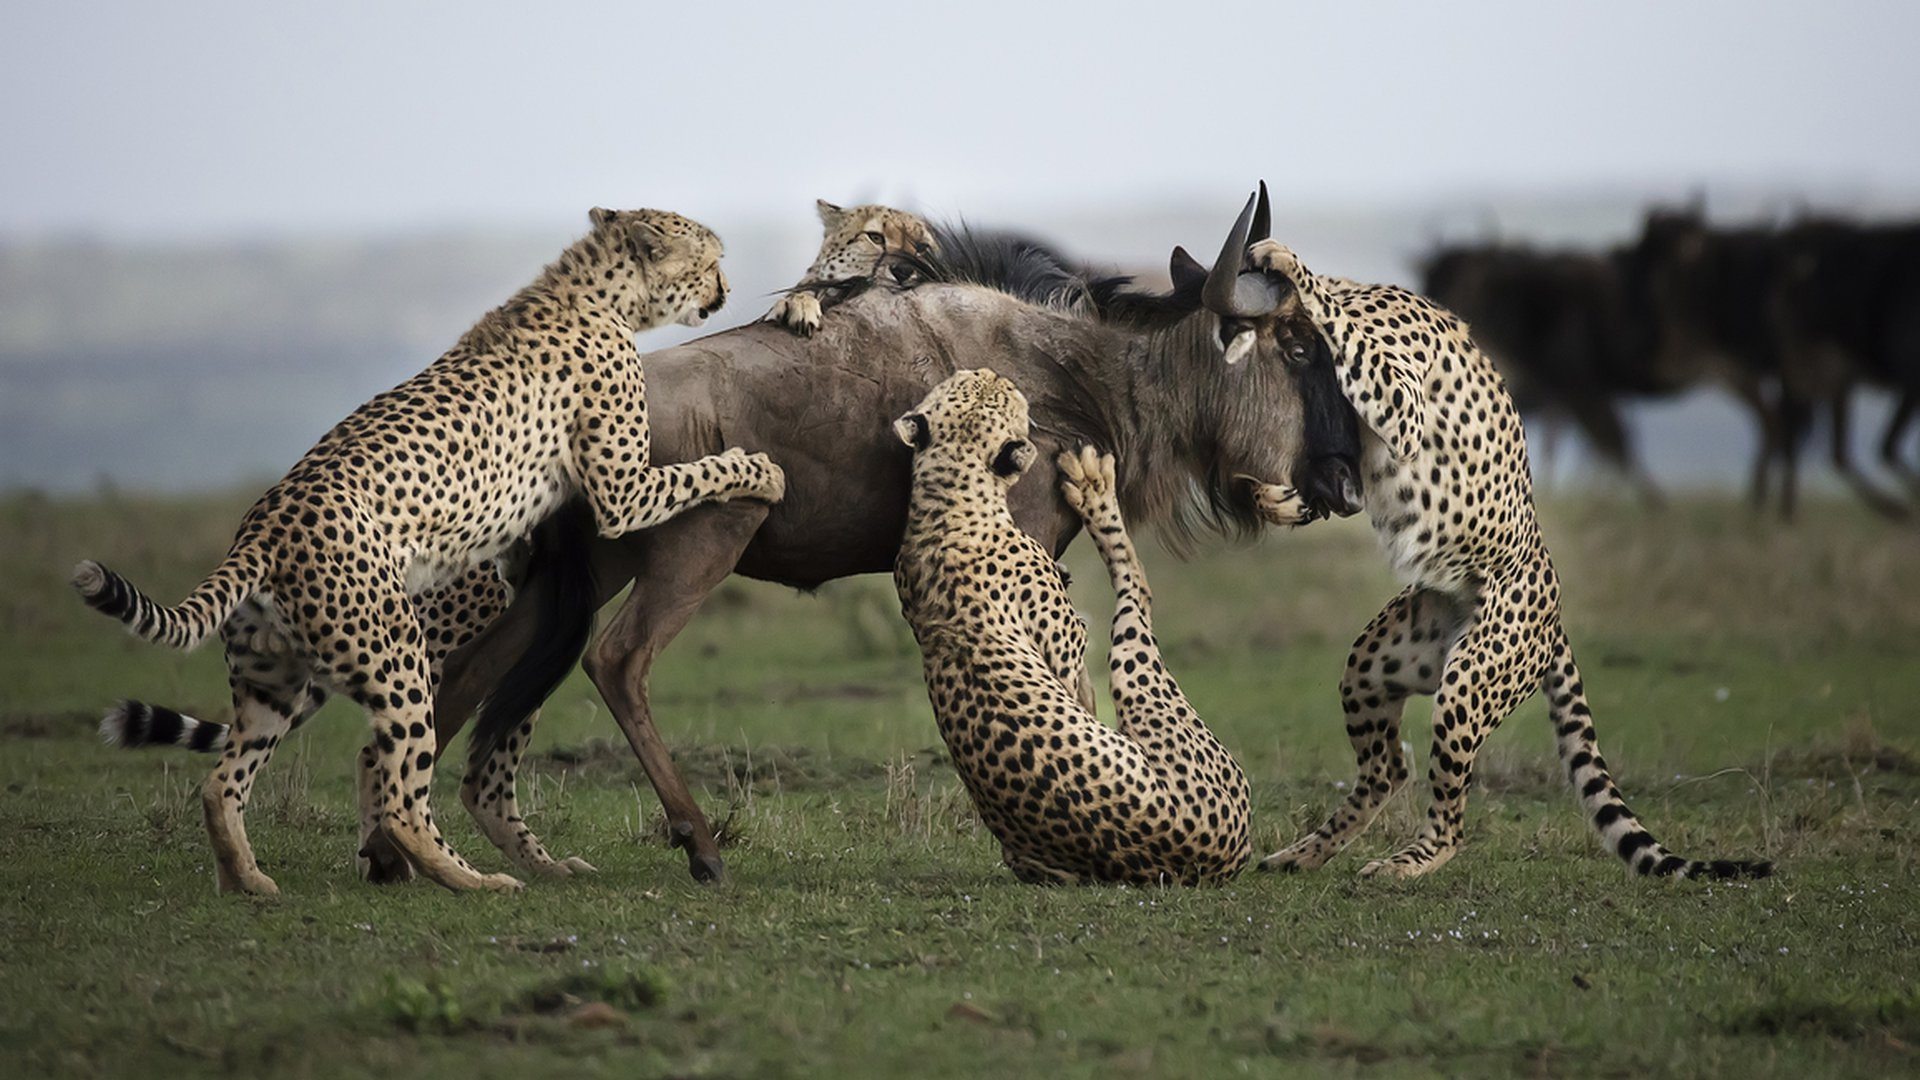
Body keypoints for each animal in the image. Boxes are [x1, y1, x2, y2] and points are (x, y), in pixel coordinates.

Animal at [69, 208, 787, 891]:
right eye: (710, 259)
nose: (727, 288)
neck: (594, 289)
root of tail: (264, 525)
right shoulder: (623, 492)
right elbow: (698, 472)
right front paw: (760, 469)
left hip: (272, 682)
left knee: (223, 783)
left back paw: (248, 881)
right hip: (397, 659)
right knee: (400, 800)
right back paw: (475, 881)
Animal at [890, 365, 1251, 880]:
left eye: (969, 383)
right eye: (1003, 394)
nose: (991, 370)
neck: (949, 488)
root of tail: (1223, 857)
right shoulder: (1065, 640)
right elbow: (1076, 675)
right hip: (1145, 680)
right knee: (1137, 588)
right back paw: (1095, 487)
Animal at [1244, 242, 1766, 876]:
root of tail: (1556, 614)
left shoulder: (1402, 407)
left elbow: (1340, 326)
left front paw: (1286, 261)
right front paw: (1273, 499)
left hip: (1469, 679)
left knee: (1448, 817)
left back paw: (1408, 861)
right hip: (1376, 666)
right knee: (1389, 768)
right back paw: (1302, 852)